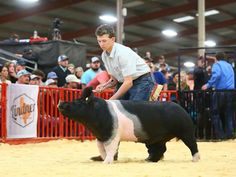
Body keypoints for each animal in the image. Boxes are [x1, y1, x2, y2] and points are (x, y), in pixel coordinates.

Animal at [58, 88, 200, 164]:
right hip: (159, 138)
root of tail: (181, 108)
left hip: (186, 131)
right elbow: (102, 149)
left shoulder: (112, 135)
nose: (61, 102)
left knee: (193, 145)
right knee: (162, 149)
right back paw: (148, 160)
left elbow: (110, 149)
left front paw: (106, 162)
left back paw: (195, 160)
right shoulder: (100, 137)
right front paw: (101, 159)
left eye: (77, 102)